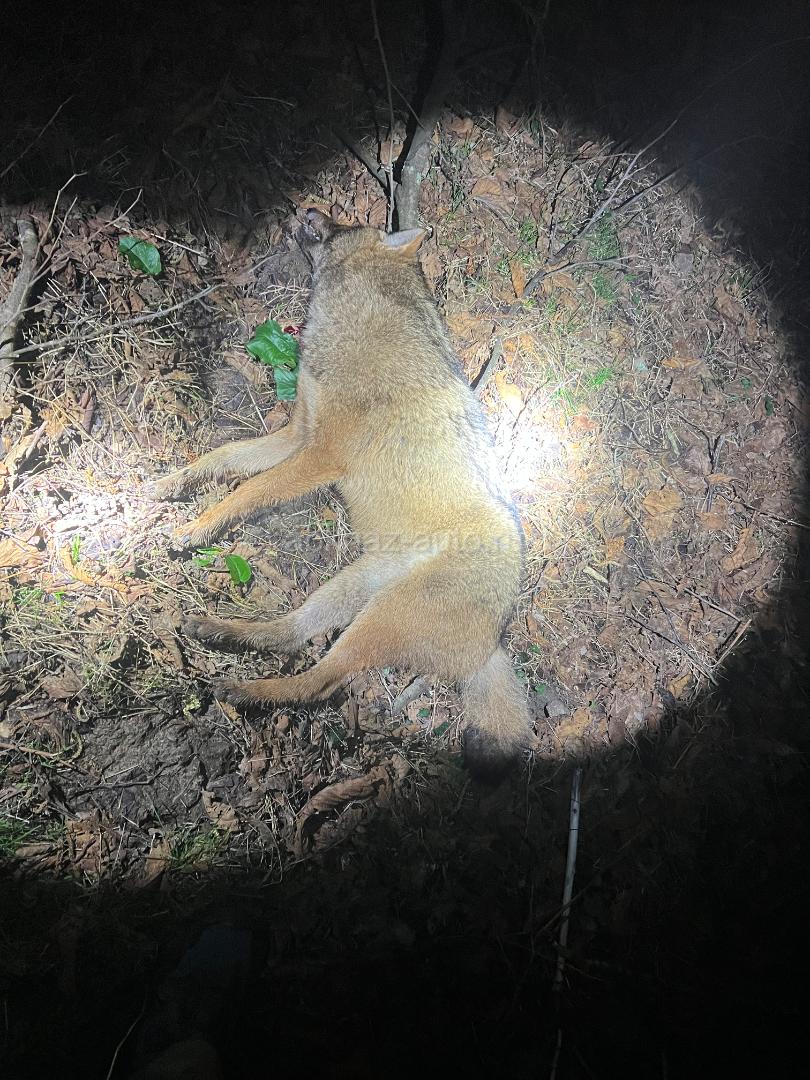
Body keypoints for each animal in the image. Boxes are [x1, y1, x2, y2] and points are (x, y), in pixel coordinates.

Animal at [150, 208, 532, 776]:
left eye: (344, 222)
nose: (308, 209)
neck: (357, 325)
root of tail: (494, 643)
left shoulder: (318, 454)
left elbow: (248, 489)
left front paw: (197, 528)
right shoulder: (296, 435)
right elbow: (222, 460)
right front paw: (173, 485)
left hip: (377, 619)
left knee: (320, 683)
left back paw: (246, 692)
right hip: (350, 590)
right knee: (291, 634)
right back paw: (223, 634)